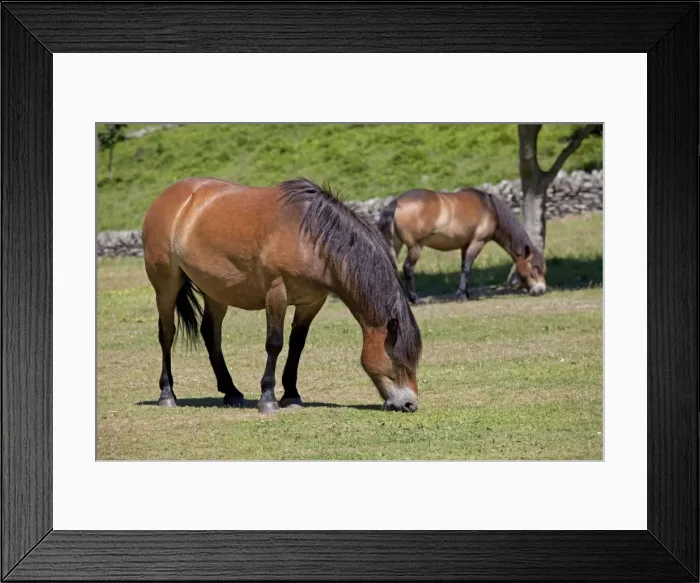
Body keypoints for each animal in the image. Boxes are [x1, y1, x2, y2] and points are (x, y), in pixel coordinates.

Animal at [142, 177, 422, 414]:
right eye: (398, 360)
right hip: (166, 286)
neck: (310, 238)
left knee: (211, 334)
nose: (410, 404)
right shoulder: (277, 294)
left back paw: (231, 391)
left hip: (216, 291)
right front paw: (268, 398)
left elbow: (297, 345)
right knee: (167, 334)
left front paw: (292, 394)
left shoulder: (311, 302)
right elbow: (274, 343)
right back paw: (167, 394)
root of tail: (168, 197)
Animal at [378, 187, 547, 304]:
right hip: (415, 247)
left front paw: (464, 293)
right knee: (408, 268)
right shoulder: (477, 242)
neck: (489, 207)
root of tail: (397, 202)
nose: (541, 290)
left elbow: (463, 267)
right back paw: (414, 299)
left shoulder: (465, 246)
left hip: (395, 245)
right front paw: (461, 295)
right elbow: (467, 268)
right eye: (535, 267)